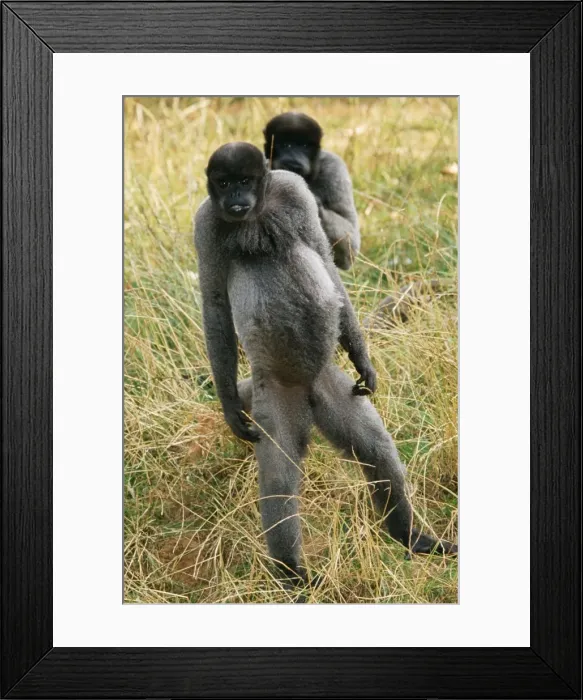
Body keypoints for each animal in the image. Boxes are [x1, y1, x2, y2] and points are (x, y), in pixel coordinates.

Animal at [194, 142, 457, 589]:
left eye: (244, 180)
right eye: (224, 184)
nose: (236, 199)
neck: (256, 215)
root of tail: (305, 390)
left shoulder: (294, 193)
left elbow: (323, 259)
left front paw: (364, 360)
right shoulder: (206, 223)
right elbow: (214, 307)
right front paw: (230, 407)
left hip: (328, 381)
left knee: (376, 450)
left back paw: (410, 536)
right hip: (276, 392)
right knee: (280, 480)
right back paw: (293, 577)